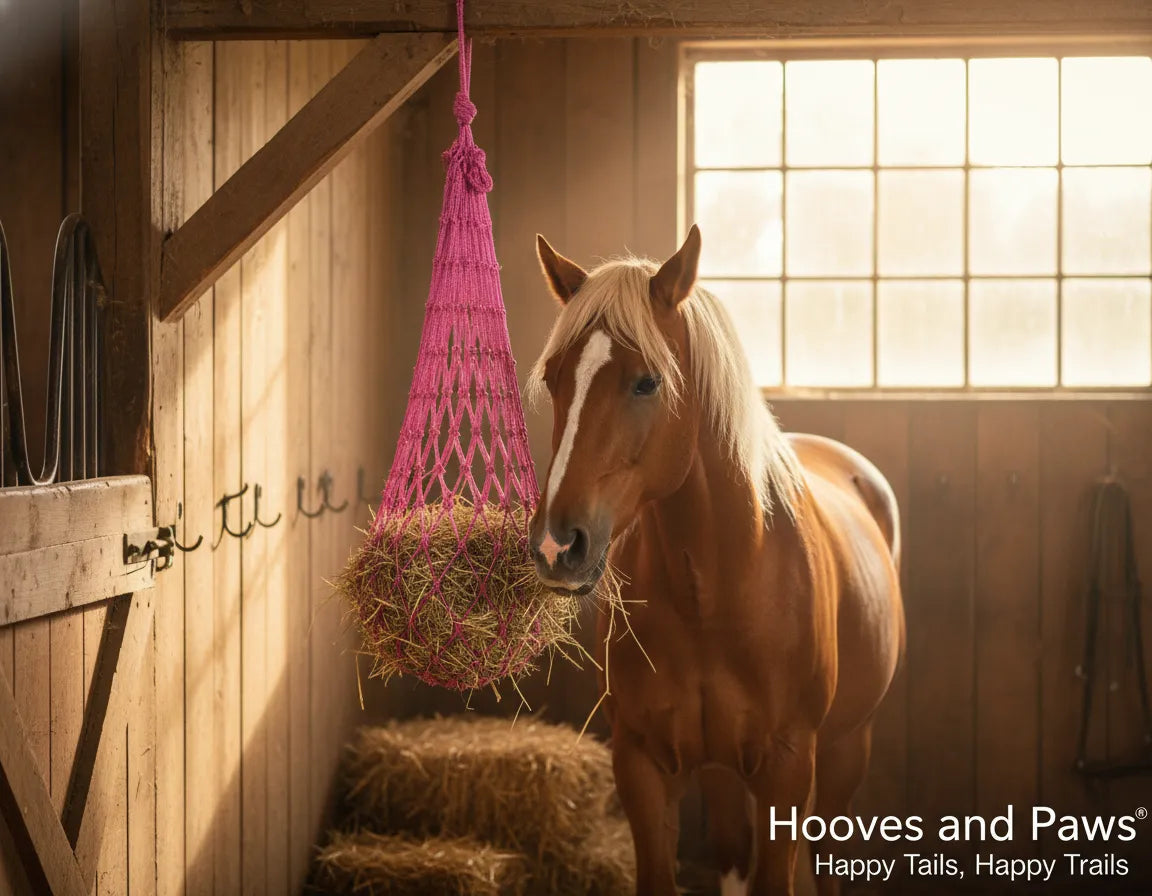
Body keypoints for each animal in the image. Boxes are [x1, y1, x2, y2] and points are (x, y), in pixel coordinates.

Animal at [526, 225, 905, 896]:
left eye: (647, 381)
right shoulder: (641, 762)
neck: (711, 589)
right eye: (553, 378)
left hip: (843, 751)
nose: (557, 545)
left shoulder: (786, 767)